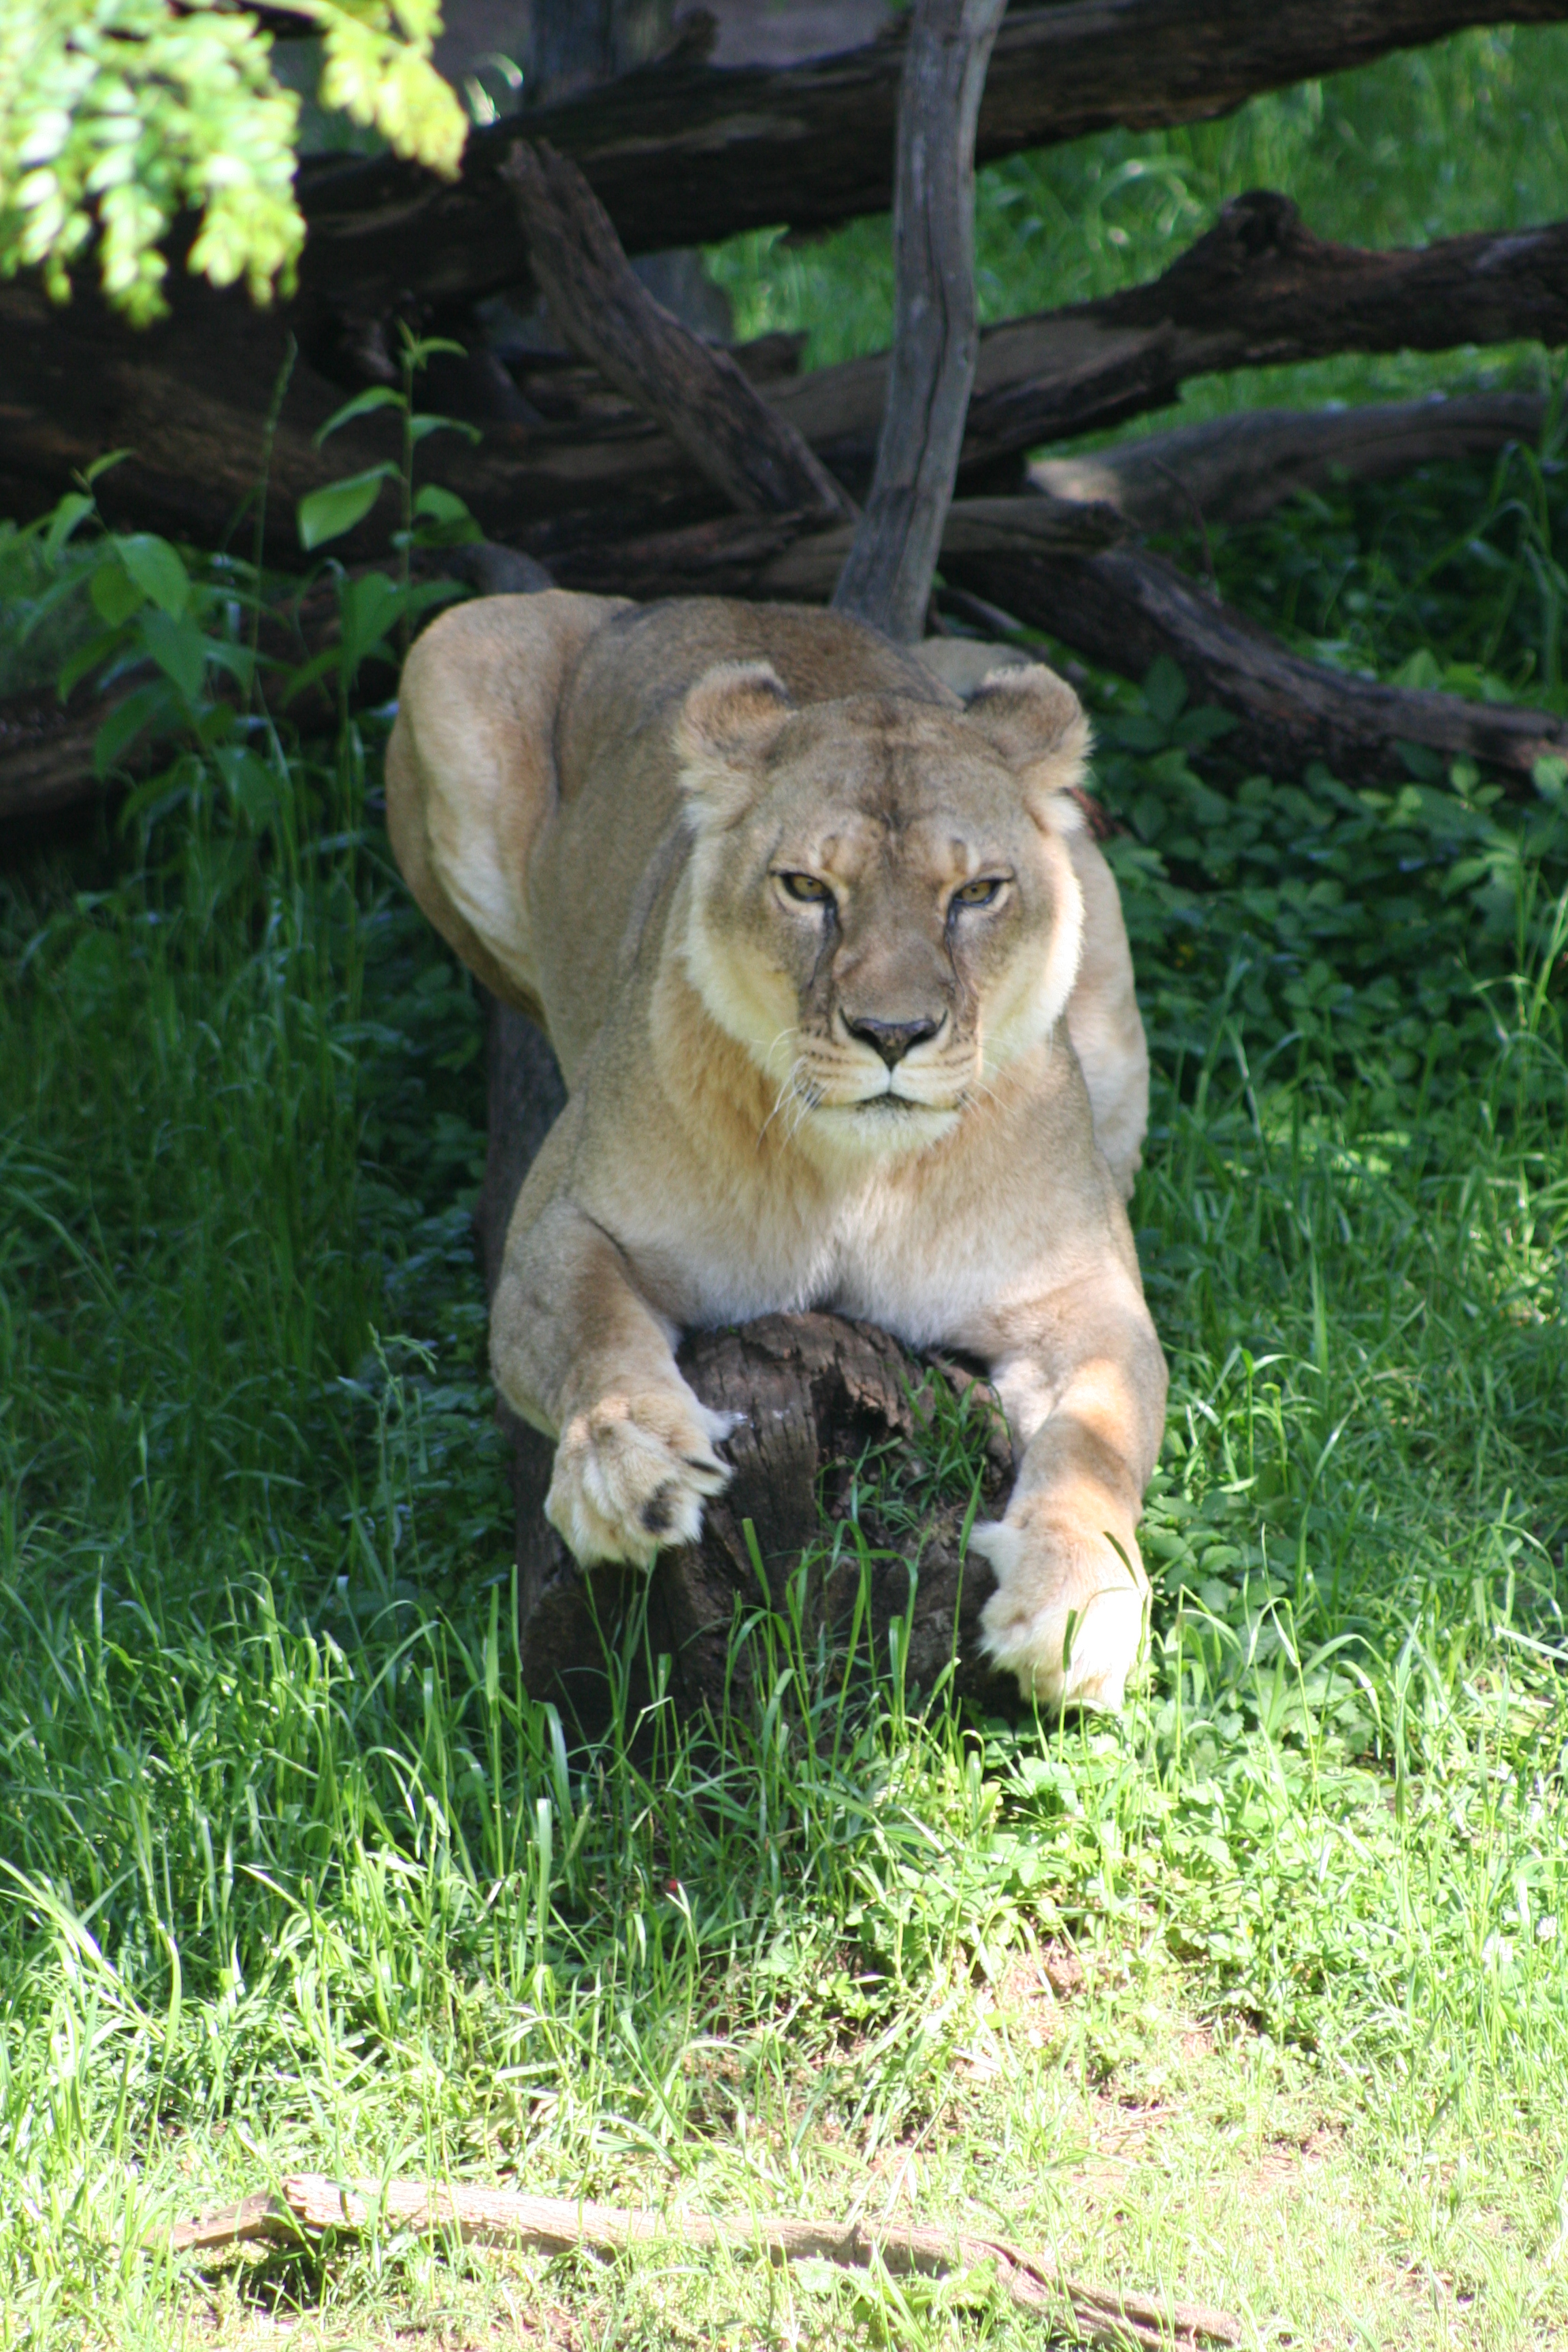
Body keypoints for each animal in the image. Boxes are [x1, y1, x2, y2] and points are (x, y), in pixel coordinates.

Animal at [386, 591, 1167, 1709]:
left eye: (977, 893)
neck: (859, 1178)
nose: (893, 1033)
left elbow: (1099, 1440)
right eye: (807, 887)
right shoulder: (562, 1225)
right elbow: (592, 1329)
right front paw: (631, 1467)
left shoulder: (1084, 1296)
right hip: (453, 645)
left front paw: (1077, 1607)